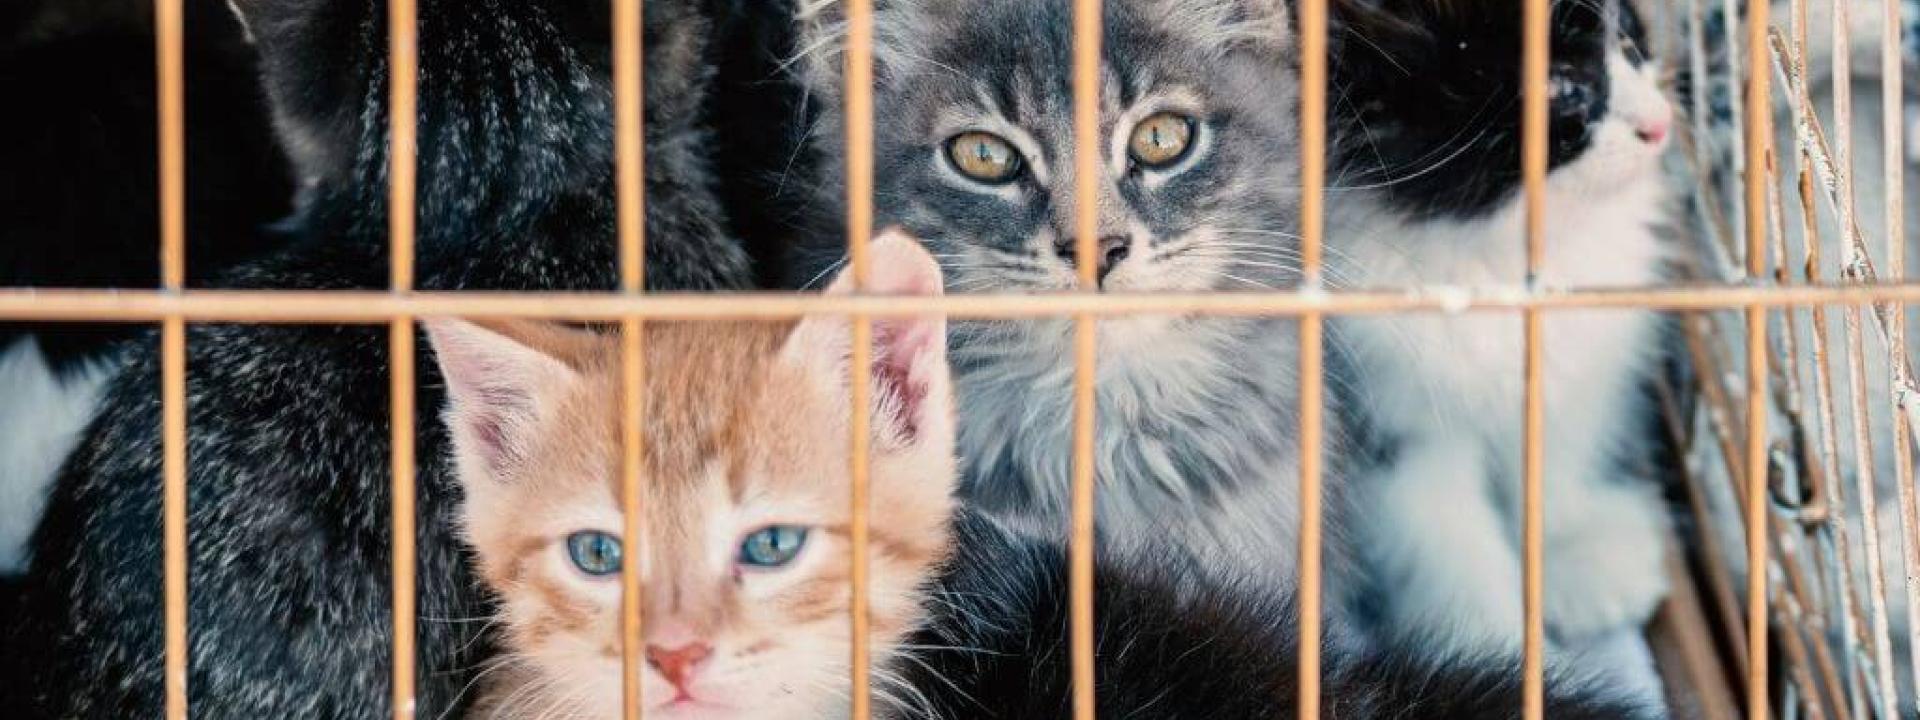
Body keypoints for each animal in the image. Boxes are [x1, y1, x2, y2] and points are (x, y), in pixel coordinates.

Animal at [1328, 0, 1674, 660]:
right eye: (1558, 88)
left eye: (1627, 36)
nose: (1661, 124)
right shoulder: (1379, 406)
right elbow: (1440, 538)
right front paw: (1496, 655)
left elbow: (1558, 447)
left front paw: (1579, 548)